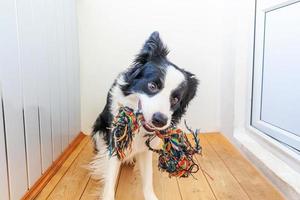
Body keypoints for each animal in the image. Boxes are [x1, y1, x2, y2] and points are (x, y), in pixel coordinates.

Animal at [91, 32, 199, 199]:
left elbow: (148, 178)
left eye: (175, 99)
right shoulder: (115, 140)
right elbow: (110, 180)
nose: (160, 120)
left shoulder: (146, 148)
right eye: (152, 86)